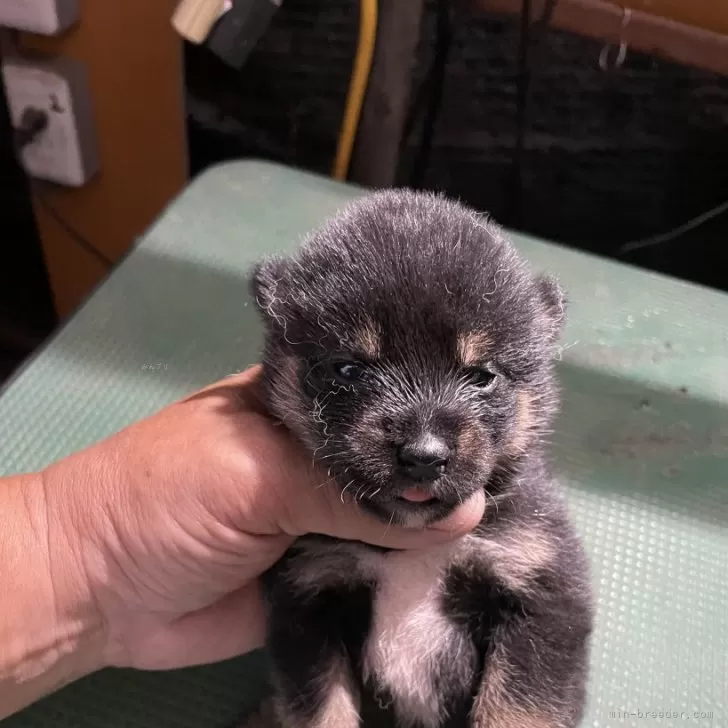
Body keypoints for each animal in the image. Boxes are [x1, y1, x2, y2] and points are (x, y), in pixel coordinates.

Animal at [245, 189, 592, 728]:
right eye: (348, 369)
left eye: (482, 375)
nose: (425, 456)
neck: (411, 551)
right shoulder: (304, 600)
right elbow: (322, 708)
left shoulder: (541, 590)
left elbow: (517, 707)